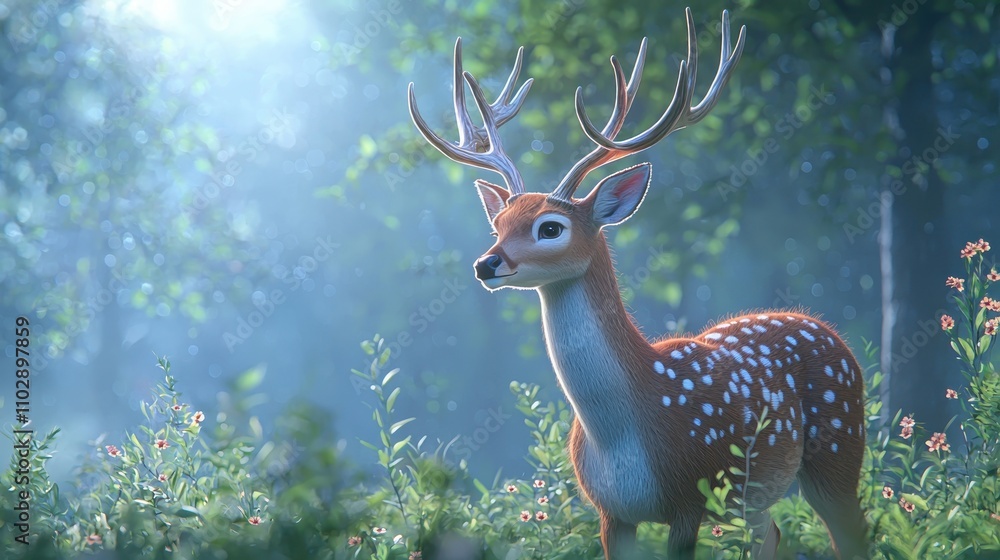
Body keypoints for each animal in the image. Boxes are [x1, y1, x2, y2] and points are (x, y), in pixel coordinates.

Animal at [408, 8, 868, 560]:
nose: (486, 264)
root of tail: (828, 330)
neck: (625, 434)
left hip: (839, 447)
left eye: (550, 228)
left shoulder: (692, 498)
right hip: (752, 498)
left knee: (854, 532)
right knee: (773, 533)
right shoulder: (610, 512)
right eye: (498, 224)